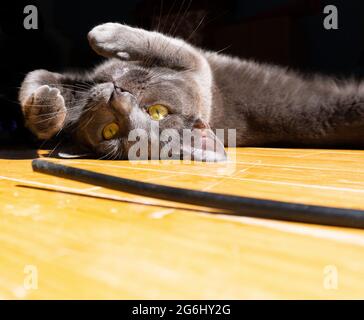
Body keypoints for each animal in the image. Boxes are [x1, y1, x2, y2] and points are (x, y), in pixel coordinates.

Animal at [18, 23, 364, 160]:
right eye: (110, 130)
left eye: (157, 112)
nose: (117, 95)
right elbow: (36, 76)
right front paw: (48, 111)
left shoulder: (198, 68)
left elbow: (166, 45)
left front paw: (103, 34)